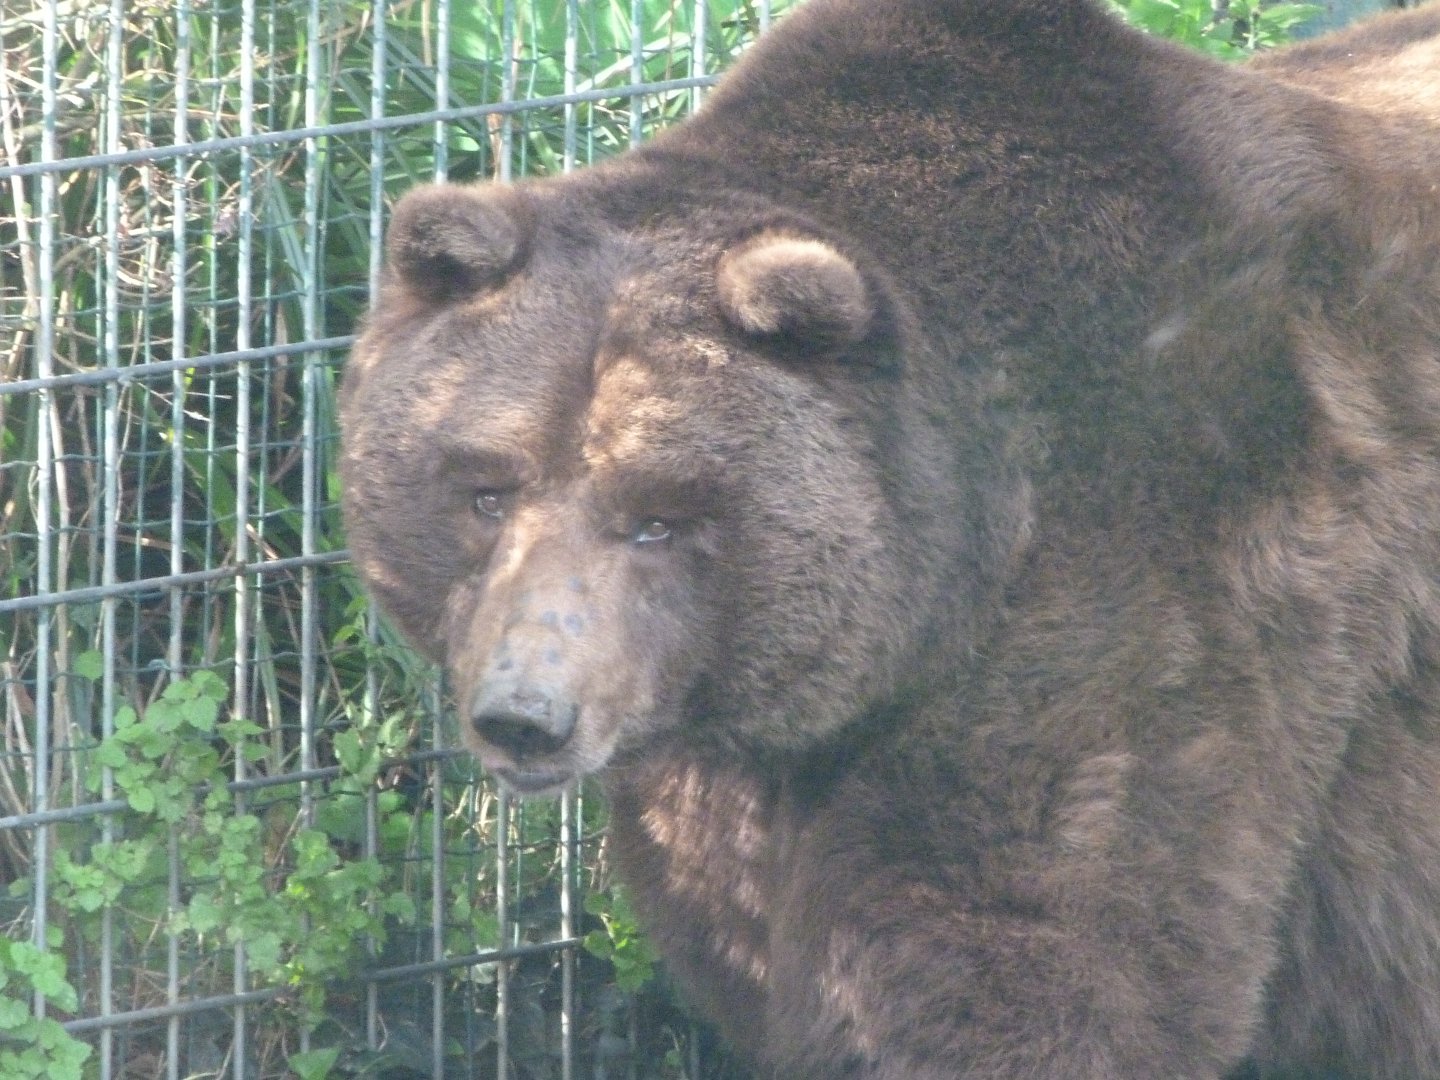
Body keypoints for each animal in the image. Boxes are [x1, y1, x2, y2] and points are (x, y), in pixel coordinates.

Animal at [337, 0, 1440, 1076]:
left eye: (657, 516)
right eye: (487, 489)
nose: (525, 716)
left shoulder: (1152, 609)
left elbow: (1024, 957)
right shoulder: (733, 774)